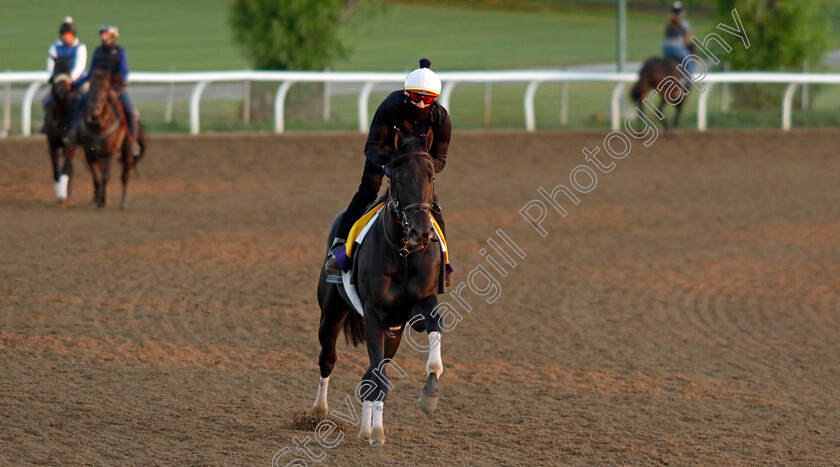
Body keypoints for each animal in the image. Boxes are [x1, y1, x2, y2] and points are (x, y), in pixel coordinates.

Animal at [44, 73, 77, 203]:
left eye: (68, 83)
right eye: (54, 80)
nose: (62, 94)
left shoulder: (69, 144)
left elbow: (65, 169)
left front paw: (62, 194)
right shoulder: (52, 143)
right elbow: (55, 169)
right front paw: (59, 190)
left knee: (69, 167)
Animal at [77, 70, 144, 209]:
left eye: (105, 87)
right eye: (90, 86)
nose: (94, 109)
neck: (99, 127)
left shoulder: (110, 152)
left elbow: (105, 176)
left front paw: (103, 201)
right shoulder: (89, 154)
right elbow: (97, 178)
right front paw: (98, 201)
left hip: (127, 153)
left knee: (125, 176)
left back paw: (123, 203)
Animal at [314, 132, 446, 446]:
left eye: (432, 176)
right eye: (397, 178)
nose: (421, 232)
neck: (404, 254)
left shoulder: (418, 308)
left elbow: (434, 331)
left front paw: (429, 394)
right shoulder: (374, 316)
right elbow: (378, 376)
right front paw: (376, 432)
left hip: (393, 333)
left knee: (369, 377)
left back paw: (365, 427)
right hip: (330, 314)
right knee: (328, 358)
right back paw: (319, 411)